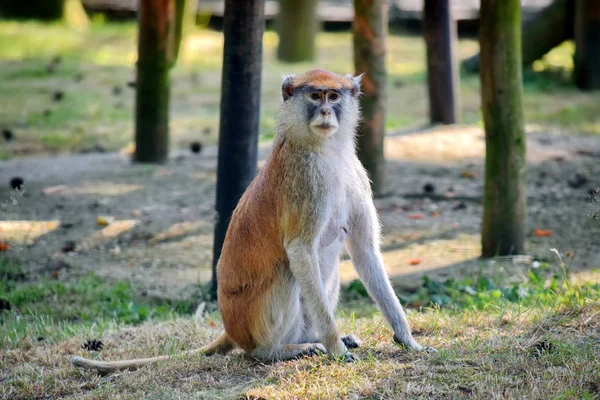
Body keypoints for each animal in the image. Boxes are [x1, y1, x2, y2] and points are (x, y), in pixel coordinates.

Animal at [70, 69, 424, 376]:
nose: (325, 111)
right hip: (252, 319)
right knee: (286, 274)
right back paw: (274, 351)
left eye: (334, 96)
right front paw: (337, 349)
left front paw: (407, 340)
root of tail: (231, 328)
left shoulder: (356, 176)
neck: (326, 149)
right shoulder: (307, 181)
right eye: (314, 96)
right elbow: (299, 250)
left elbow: (364, 250)